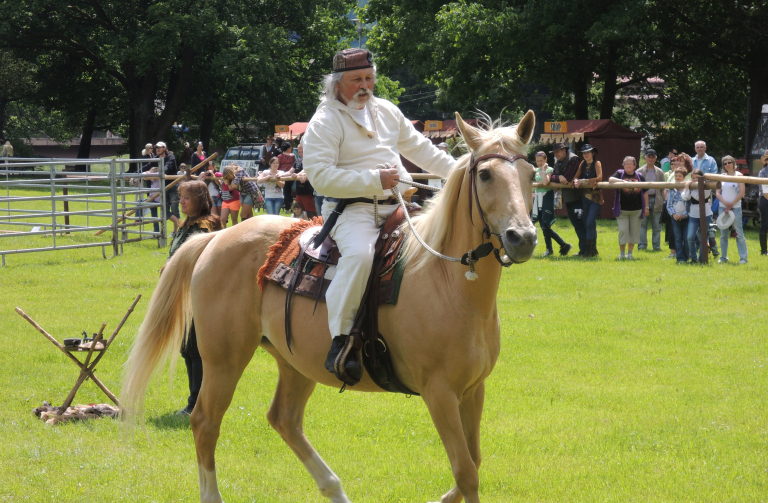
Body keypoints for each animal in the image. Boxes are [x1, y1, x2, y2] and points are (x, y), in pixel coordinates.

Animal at [123, 113, 536, 503]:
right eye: (485, 174)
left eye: (531, 173)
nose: (523, 237)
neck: (446, 280)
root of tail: (216, 237)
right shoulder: (440, 394)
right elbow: (466, 473)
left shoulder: (472, 390)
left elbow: (473, 464)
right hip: (224, 360)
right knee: (205, 422)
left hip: (295, 362)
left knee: (284, 419)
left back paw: (335, 489)